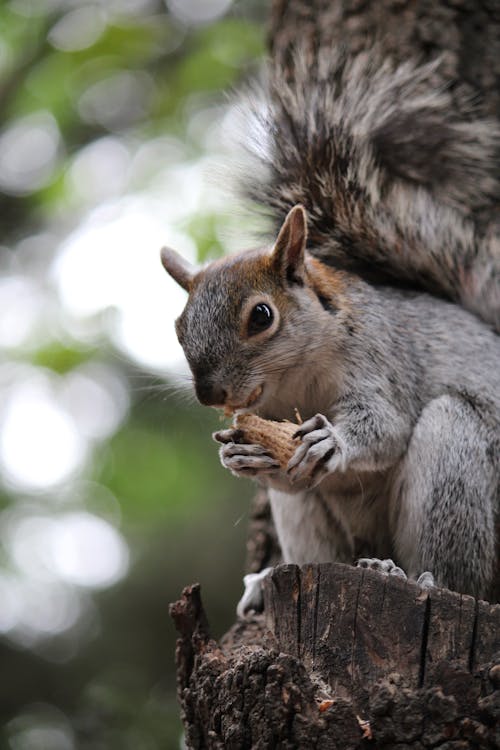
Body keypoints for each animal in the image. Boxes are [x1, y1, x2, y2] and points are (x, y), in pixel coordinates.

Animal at [162, 44, 498, 612]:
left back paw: (414, 577)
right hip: (317, 529)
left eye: (261, 316)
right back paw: (269, 580)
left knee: (463, 576)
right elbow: (289, 476)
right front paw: (239, 453)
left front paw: (332, 441)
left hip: (463, 465)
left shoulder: (381, 360)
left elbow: (385, 426)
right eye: (179, 327)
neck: (296, 377)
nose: (211, 394)